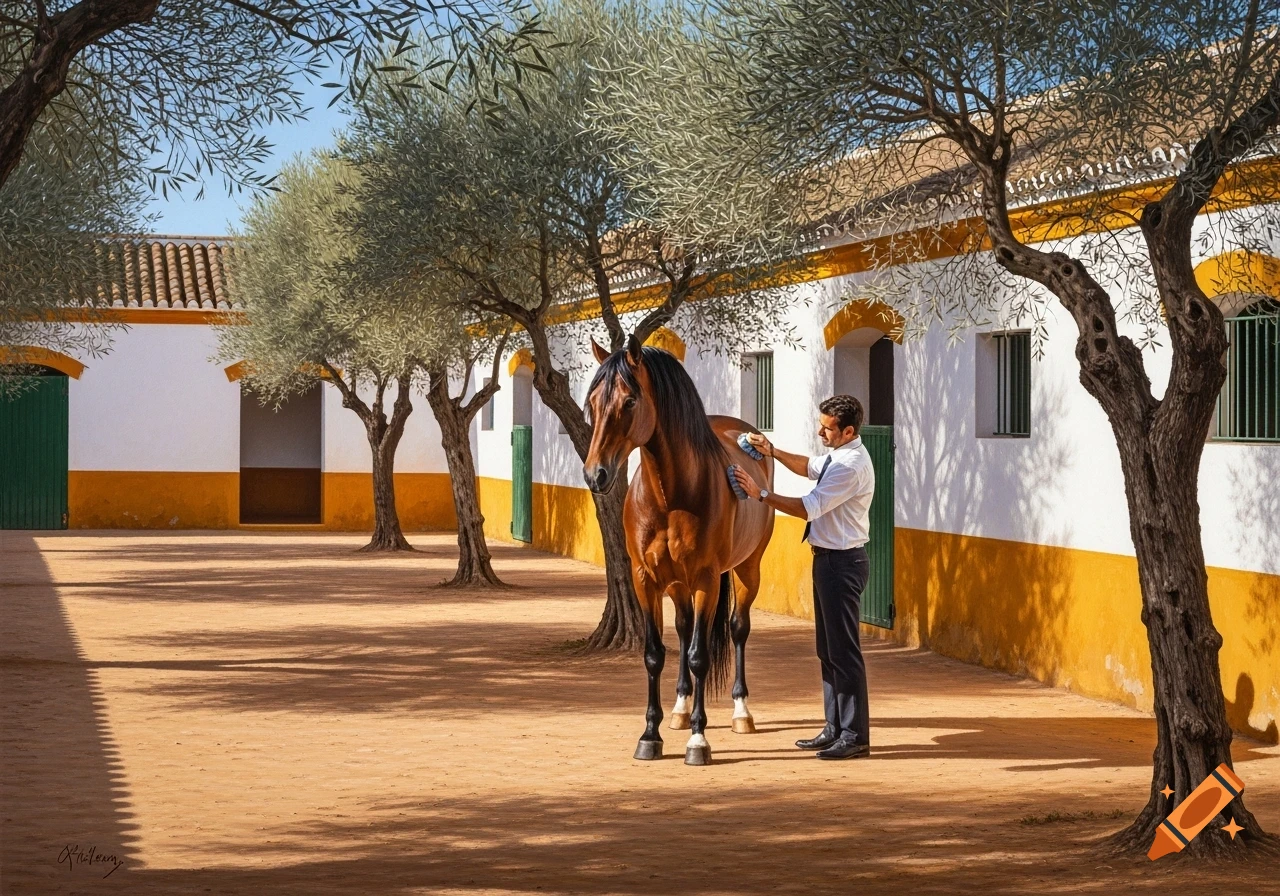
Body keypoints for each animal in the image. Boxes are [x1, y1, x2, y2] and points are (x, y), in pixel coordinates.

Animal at [584, 335, 775, 765]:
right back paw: (680, 710)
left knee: (737, 629)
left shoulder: (706, 579)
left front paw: (698, 741)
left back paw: (741, 713)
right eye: (592, 402)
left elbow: (699, 656)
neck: (671, 496)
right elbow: (656, 653)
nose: (595, 474)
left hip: (747, 570)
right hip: (677, 584)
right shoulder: (646, 580)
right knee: (686, 627)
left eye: (629, 401)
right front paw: (650, 735)